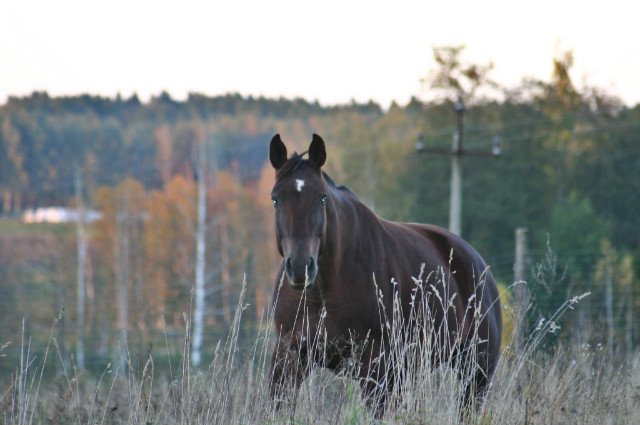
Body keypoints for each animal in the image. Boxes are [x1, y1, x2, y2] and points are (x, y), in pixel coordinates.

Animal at [268, 133, 502, 418]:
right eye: (276, 199)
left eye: (322, 197)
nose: (301, 266)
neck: (322, 295)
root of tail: (476, 262)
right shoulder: (287, 359)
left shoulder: (375, 367)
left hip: (475, 373)